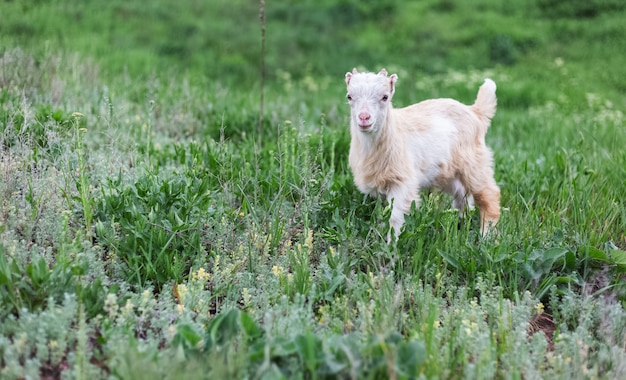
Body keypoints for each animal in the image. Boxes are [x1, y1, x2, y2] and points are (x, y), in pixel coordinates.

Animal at [344, 67, 500, 240]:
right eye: (349, 96)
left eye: (385, 97)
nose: (364, 117)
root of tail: (475, 112)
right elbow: (383, 213)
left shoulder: (402, 181)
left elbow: (395, 216)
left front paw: (392, 242)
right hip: (448, 172)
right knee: (462, 194)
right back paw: (460, 224)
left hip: (474, 163)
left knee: (489, 195)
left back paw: (487, 235)